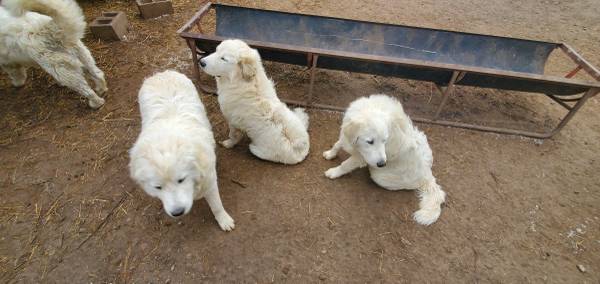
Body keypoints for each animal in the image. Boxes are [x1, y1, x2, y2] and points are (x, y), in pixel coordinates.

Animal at [129, 70, 234, 231]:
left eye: (181, 180)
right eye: (158, 187)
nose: (177, 212)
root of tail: (161, 73)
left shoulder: (209, 181)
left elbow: (217, 205)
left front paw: (224, 220)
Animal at [324, 94, 446, 225]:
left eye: (384, 140)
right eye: (370, 141)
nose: (382, 164)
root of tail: (428, 176)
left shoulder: (361, 158)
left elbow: (345, 165)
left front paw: (333, 172)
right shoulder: (346, 135)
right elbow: (337, 144)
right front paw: (330, 154)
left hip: (378, 176)